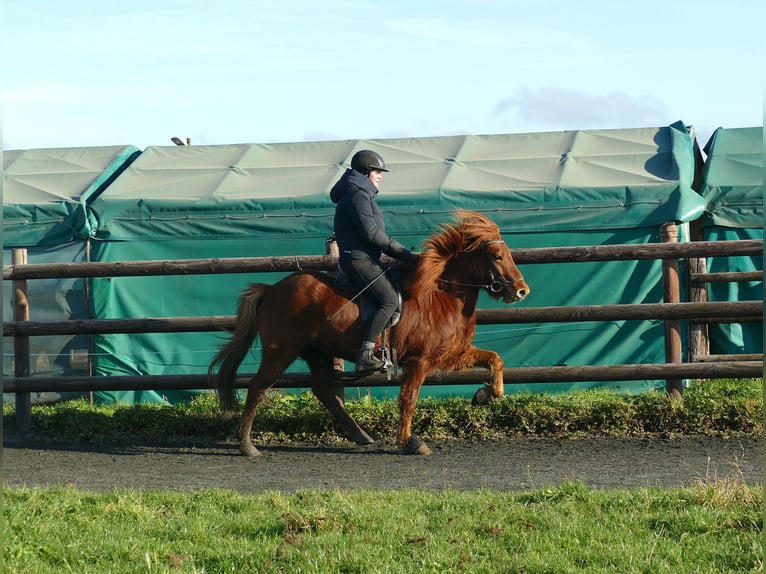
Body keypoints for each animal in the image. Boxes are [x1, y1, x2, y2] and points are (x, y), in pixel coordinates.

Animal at [208, 210, 530, 457]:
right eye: (497, 256)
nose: (521, 291)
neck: (441, 295)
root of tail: (271, 289)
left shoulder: (451, 353)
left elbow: (496, 359)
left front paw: (486, 395)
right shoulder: (422, 361)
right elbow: (409, 399)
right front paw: (409, 442)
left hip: (317, 351)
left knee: (323, 390)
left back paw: (359, 435)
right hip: (281, 350)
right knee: (258, 388)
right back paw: (247, 446)